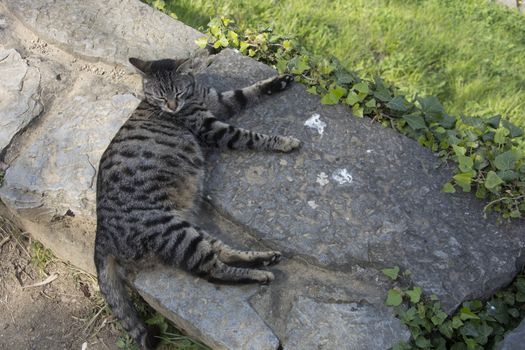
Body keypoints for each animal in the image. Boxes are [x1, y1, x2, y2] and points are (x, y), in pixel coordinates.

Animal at [93, 56, 298, 348]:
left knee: (222, 252)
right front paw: (282, 141)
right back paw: (260, 274)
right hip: (174, 233)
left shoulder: (217, 101)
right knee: (212, 270)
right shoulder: (211, 128)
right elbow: (249, 136)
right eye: (159, 96)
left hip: (188, 228)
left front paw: (278, 81)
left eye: (176, 93)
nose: (172, 107)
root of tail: (100, 234)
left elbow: (246, 92)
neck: (192, 94)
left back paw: (265, 258)